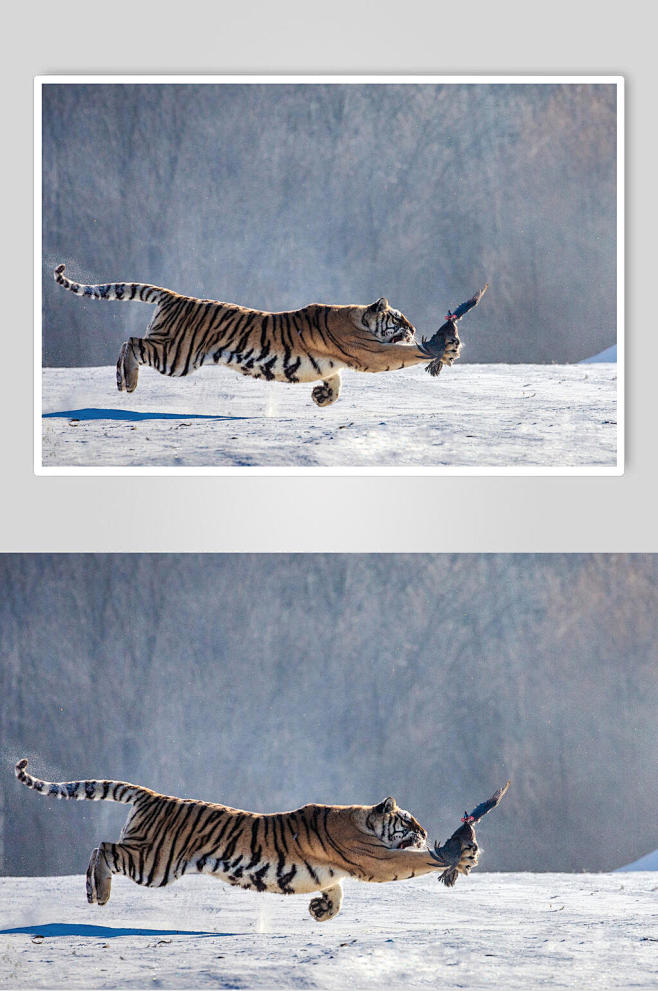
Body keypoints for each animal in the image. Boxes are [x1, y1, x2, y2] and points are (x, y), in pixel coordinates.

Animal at [15, 758, 479, 921]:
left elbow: (337, 892)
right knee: (103, 848)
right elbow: (413, 863)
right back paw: (99, 892)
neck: (362, 819)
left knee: (104, 847)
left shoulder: (335, 873)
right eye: (410, 822)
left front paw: (320, 911)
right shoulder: (376, 861)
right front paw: (455, 853)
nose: (424, 832)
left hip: (152, 859)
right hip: (155, 863)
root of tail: (153, 795)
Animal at [53, 265, 487, 407]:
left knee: (132, 341)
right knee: (130, 343)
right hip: (177, 356)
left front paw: (322, 397)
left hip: (174, 352)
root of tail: (175, 296)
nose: (413, 328)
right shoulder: (369, 353)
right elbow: (402, 356)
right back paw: (126, 381)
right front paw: (436, 348)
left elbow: (336, 381)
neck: (359, 318)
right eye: (400, 319)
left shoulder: (335, 363)